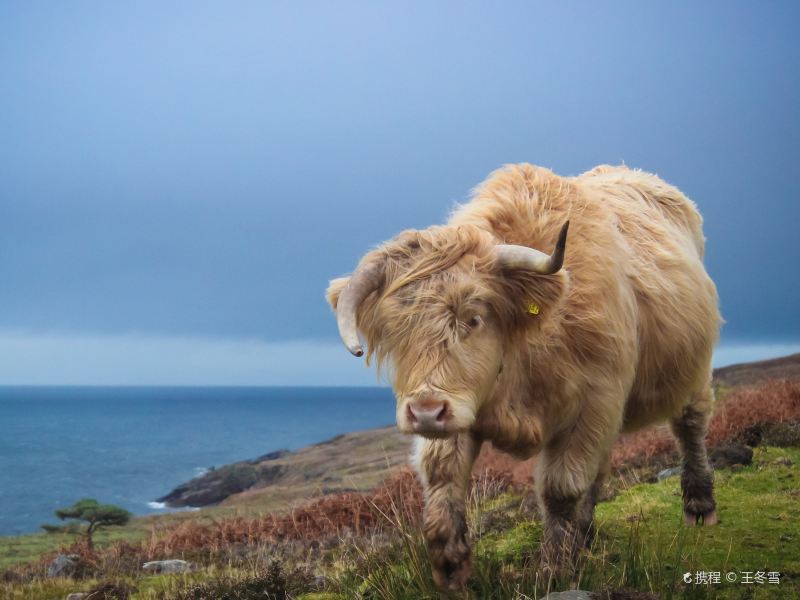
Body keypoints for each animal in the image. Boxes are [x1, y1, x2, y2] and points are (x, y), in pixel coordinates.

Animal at [328, 164, 720, 592]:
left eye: (473, 318)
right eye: (395, 329)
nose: (427, 412)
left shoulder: (593, 404)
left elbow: (561, 488)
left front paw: (554, 571)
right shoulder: (463, 410)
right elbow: (442, 476)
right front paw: (451, 568)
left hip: (692, 371)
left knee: (690, 423)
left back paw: (699, 506)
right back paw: (587, 535)